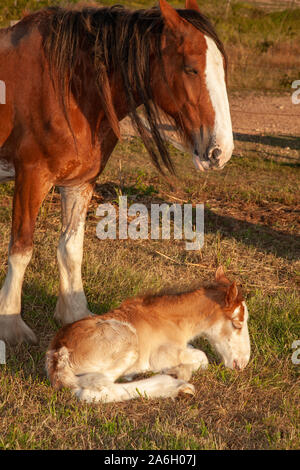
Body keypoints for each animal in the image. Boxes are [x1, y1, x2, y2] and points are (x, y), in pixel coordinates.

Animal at [0, 0, 234, 346]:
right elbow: (21, 248)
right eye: (191, 68)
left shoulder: (80, 182)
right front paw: (11, 324)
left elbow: (71, 247)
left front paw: (75, 313)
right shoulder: (31, 176)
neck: (67, 85)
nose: (221, 151)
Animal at [45, 268, 250, 404]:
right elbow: (203, 357)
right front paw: (177, 371)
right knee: (93, 392)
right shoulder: (161, 354)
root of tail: (57, 355)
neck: (172, 320)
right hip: (127, 342)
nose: (242, 363)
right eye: (237, 324)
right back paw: (176, 386)